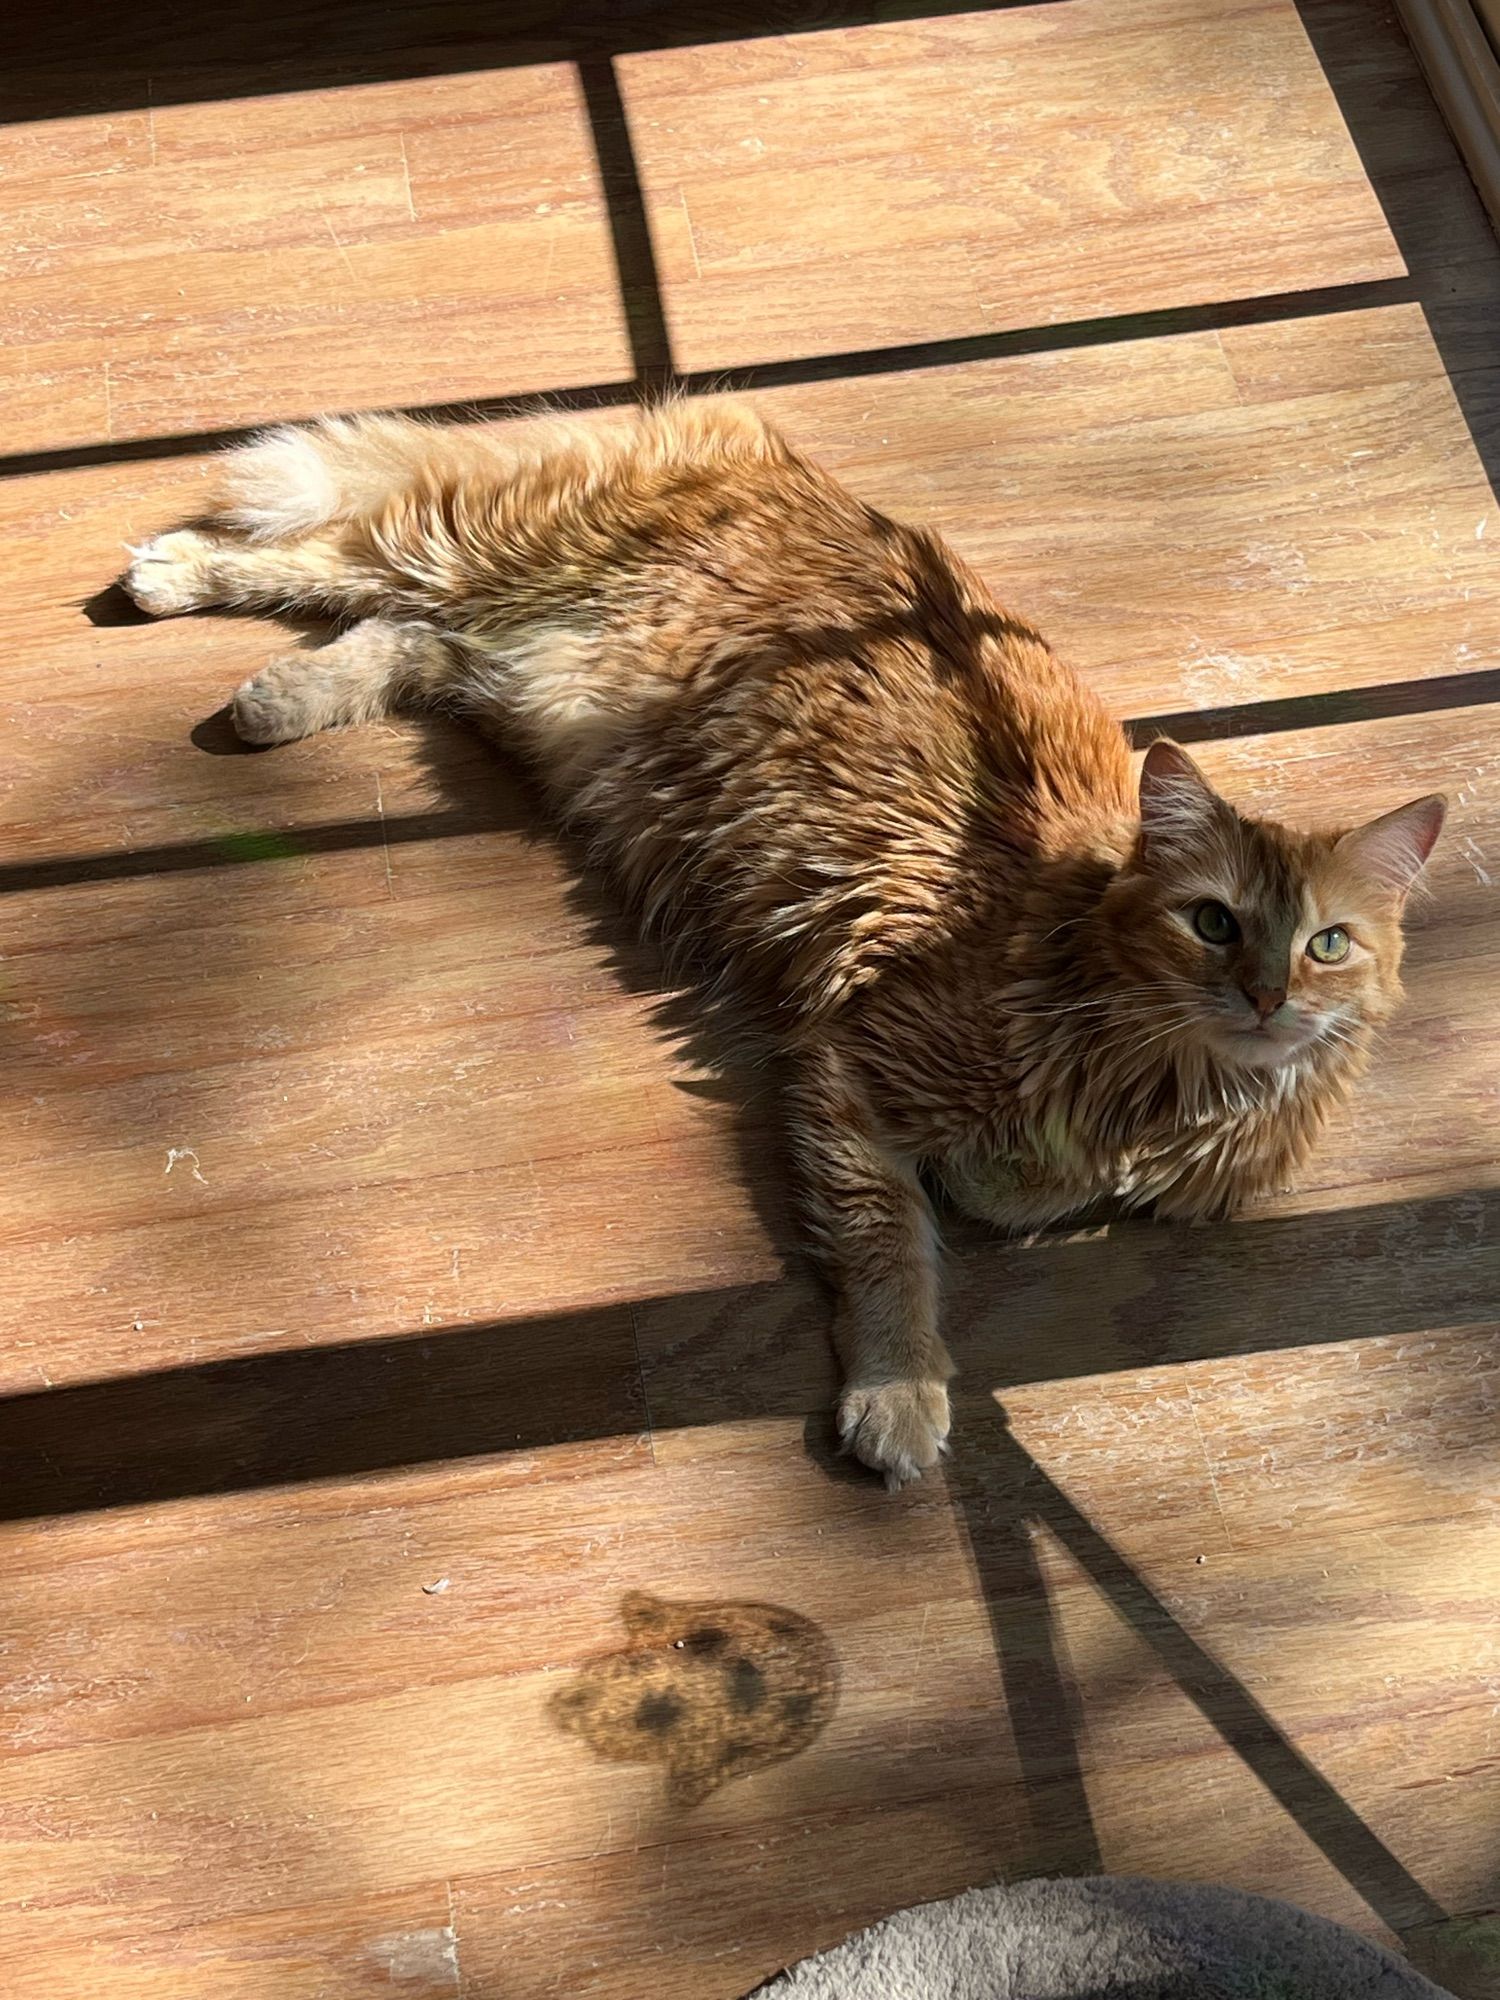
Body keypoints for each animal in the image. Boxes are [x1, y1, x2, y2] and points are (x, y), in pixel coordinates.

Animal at [126, 402, 1448, 1488]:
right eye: (1212, 919)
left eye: (1328, 942)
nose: (1267, 994)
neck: (1165, 1078)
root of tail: (760, 449)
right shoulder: (856, 1059)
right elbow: (892, 1247)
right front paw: (899, 1392)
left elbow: (1013, 1193)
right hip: (488, 554)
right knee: (336, 555)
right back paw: (170, 574)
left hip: (514, 673)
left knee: (399, 631)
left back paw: (275, 697)